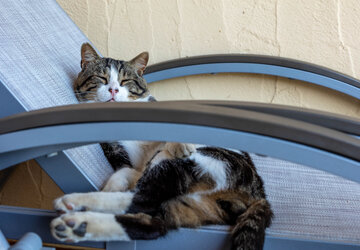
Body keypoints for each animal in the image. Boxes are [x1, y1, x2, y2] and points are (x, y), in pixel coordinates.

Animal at [49, 43, 272, 250]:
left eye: (125, 81)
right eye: (101, 78)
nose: (113, 89)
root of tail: (260, 194)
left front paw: (182, 143)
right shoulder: (121, 156)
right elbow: (122, 173)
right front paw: (112, 186)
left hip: (195, 163)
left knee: (145, 207)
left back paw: (76, 217)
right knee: (144, 209)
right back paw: (75, 219)